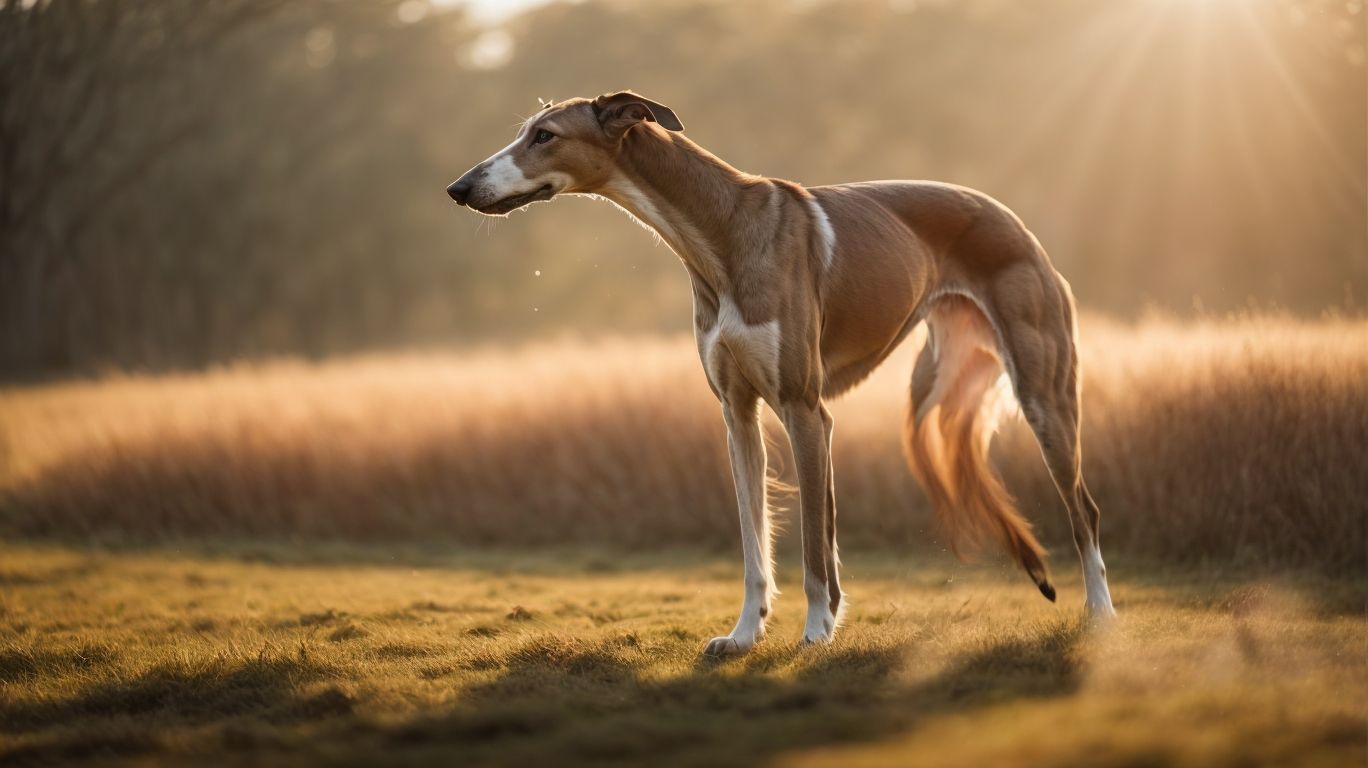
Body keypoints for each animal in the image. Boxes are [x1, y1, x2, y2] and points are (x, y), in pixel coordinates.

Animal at [445, 89, 1110, 651]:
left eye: (545, 135)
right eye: (527, 132)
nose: (458, 187)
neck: (718, 232)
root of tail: (1015, 221)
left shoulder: (804, 409)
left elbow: (815, 544)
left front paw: (816, 631)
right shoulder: (737, 414)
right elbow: (755, 544)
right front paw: (745, 634)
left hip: (1044, 396)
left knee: (1085, 510)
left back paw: (1101, 612)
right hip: (934, 391)